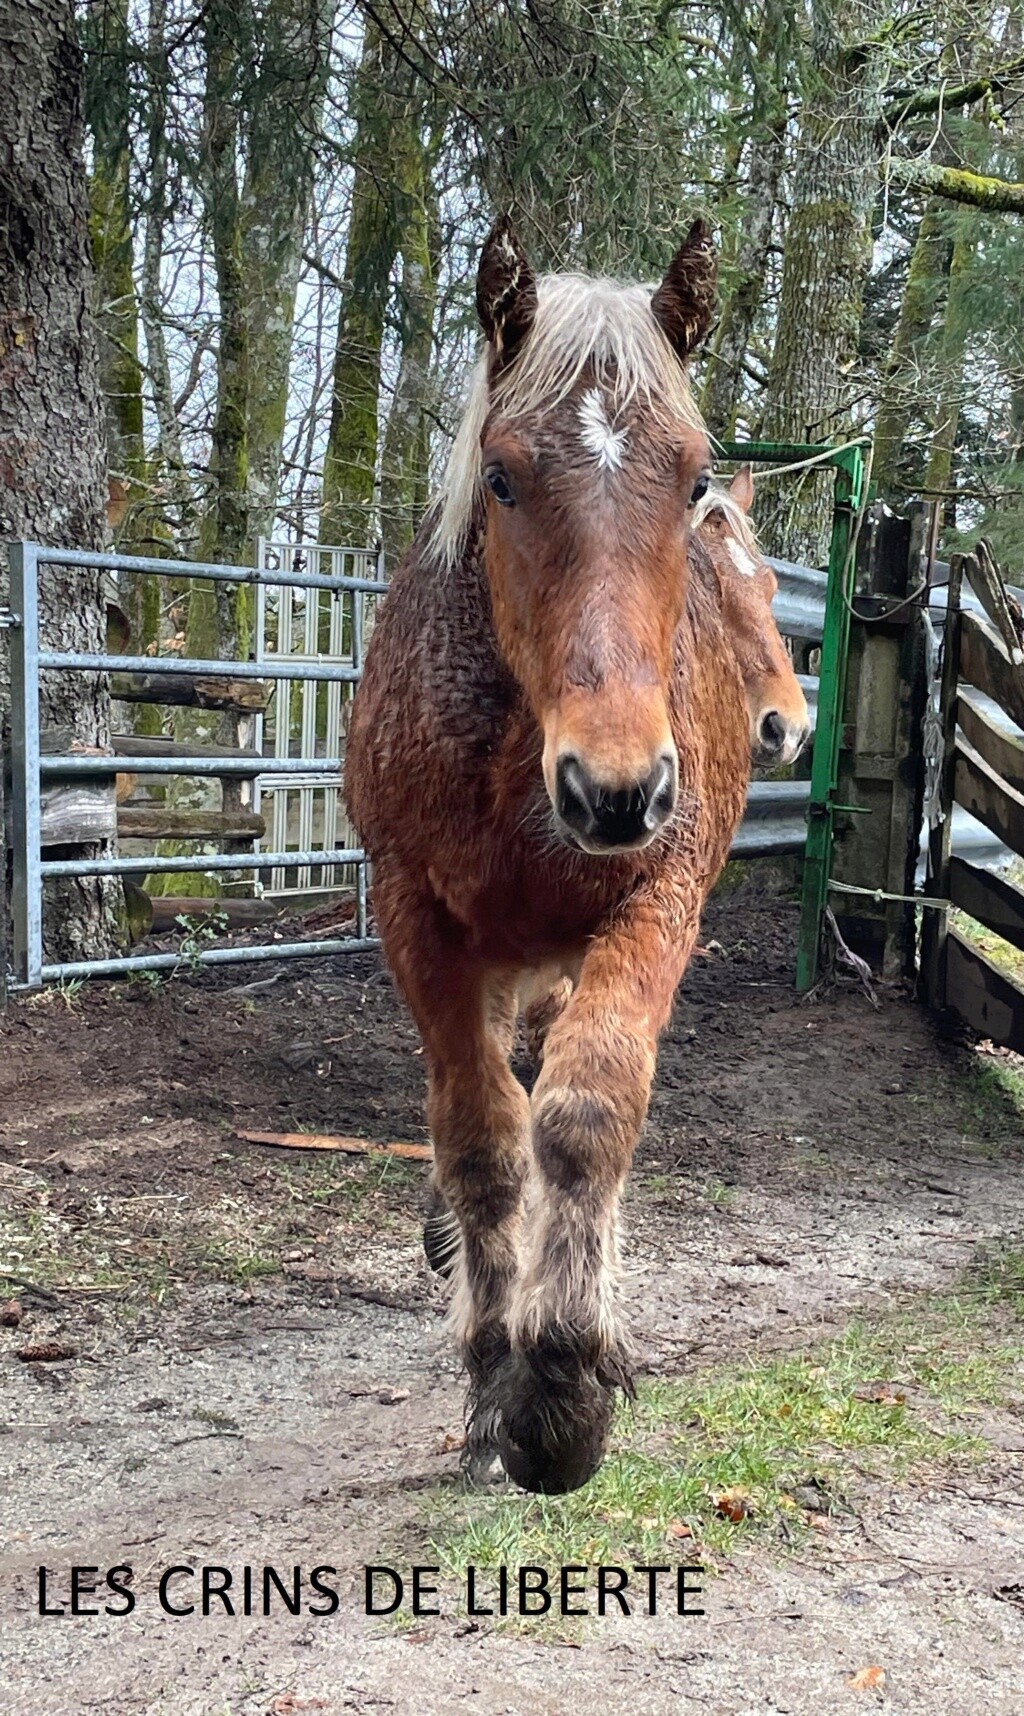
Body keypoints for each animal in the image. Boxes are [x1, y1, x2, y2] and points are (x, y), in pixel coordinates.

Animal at [348, 221, 778, 1496]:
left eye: (693, 479)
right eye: (501, 477)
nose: (617, 788)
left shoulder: (656, 901)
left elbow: (585, 1110)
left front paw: (563, 1382)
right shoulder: (417, 921)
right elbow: (482, 1140)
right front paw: (496, 1376)